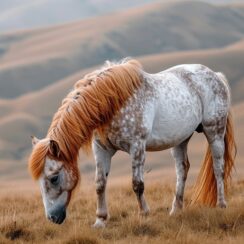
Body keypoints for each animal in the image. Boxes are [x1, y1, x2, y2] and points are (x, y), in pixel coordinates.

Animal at [28, 58, 236, 227]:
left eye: (54, 177)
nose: (52, 218)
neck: (112, 103)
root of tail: (215, 75)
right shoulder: (101, 149)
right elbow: (100, 184)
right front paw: (100, 220)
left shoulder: (137, 147)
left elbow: (137, 184)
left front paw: (144, 215)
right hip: (181, 139)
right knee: (182, 169)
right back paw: (175, 210)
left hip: (214, 133)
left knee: (218, 168)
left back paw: (221, 205)